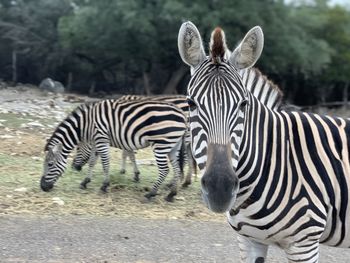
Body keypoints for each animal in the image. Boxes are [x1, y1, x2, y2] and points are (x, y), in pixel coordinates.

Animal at [40, 99, 189, 202]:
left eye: (50, 164)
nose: (42, 187)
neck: (85, 125)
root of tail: (182, 114)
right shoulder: (96, 142)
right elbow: (92, 162)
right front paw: (85, 182)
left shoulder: (101, 139)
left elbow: (105, 163)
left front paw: (104, 186)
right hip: (173, 145)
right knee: (177, 169)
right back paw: (171, 194)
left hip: (161, 143)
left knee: (165, 170)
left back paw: (150, 193)